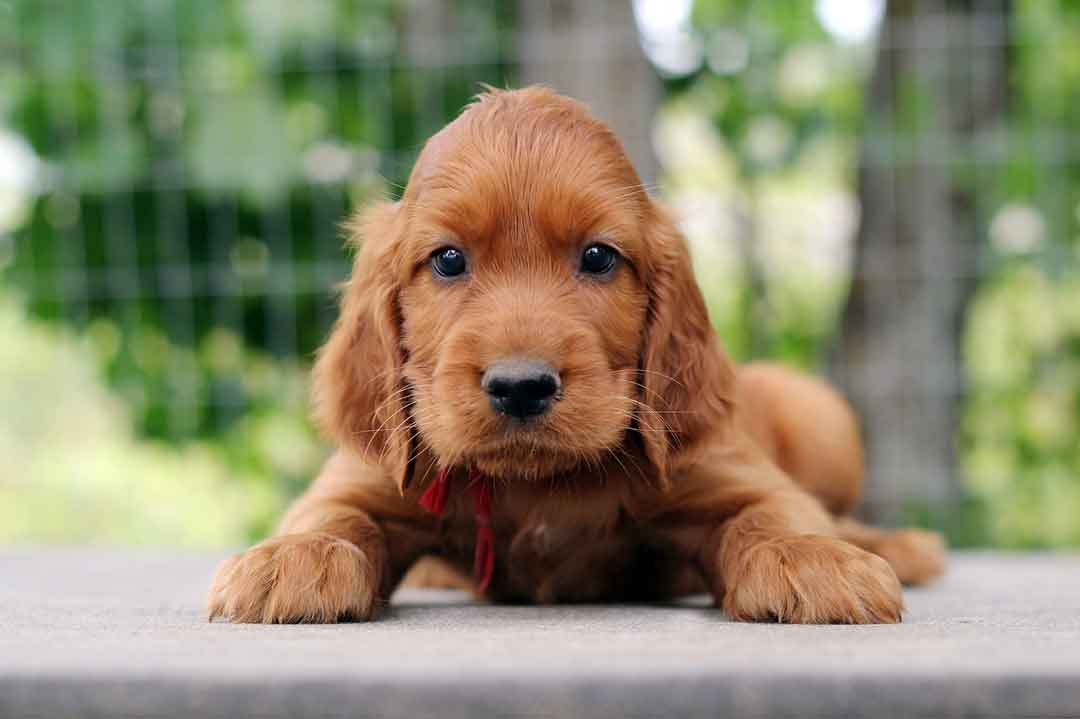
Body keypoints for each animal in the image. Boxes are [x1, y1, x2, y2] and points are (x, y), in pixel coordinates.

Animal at [204, 84, 946, 621]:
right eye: (447, 259)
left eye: (598, 257)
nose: (520, 385)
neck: (534, 484)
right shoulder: (369, 473)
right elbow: (330, 512)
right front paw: (294, 556)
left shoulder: (725, 469)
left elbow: (773, 511)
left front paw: (810, 557)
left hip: (820, 415)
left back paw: (893, 544)